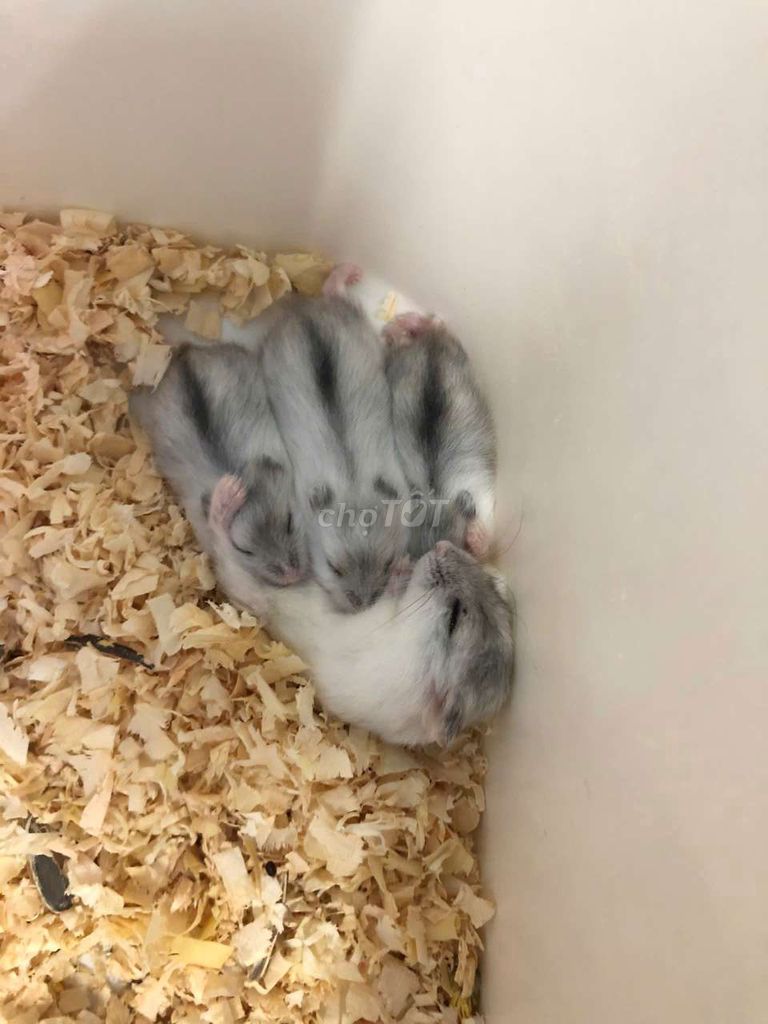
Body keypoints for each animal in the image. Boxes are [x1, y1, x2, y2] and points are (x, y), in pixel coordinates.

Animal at [129, 338, 308, 592]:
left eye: (290, 522)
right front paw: (231, 489)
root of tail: (183, 352)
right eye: (245, 550)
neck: (237, 470)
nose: (292, 575)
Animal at [207, 489, 513, 745]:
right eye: (493, 586)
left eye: (454, 620)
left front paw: (402, 568)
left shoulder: (375, 627)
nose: (442, 545)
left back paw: (227, 495)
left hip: (250, 590)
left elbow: (389, 595)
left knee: (225, 557)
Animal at [384, 312, 496, 560]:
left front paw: (476, 537)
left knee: (434, 324)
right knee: (434, 324)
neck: (436, 495)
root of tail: (430, 341)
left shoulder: (484, 500)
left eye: (460, 548)